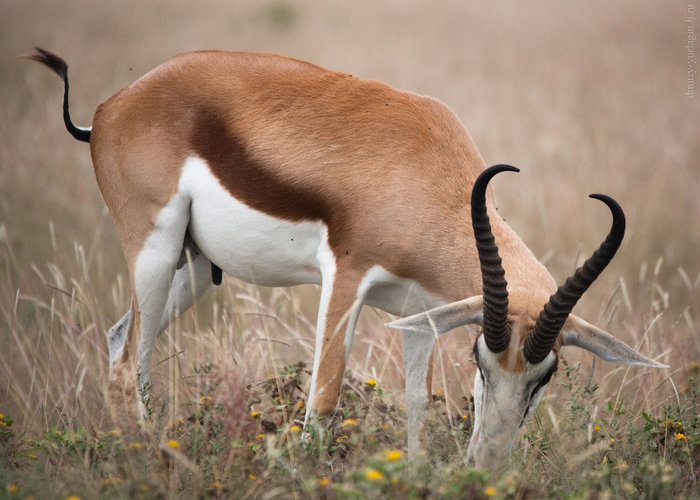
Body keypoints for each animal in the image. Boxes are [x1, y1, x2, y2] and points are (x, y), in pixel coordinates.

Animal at [26, 47, 668, 468]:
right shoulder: (346, 277)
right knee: (126, 362)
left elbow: (417, 408)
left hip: (197, 268)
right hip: (154, 250)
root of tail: (108, 108)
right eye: (481, 362)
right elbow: (324, 399)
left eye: (546, 376)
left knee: (119, 339)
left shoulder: (421, 318)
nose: (487, 462)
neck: (426, 171)